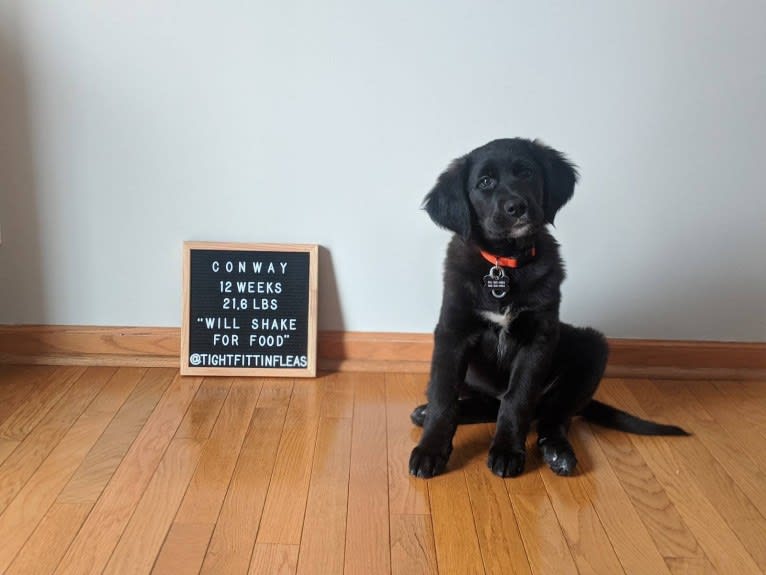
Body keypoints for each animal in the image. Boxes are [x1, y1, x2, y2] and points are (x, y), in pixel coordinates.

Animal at [412, 137, 688, 480]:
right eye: (485, 182)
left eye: (527, 173)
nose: (517, 207)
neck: (504, 264)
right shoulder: (453, 333)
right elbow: (443, 394)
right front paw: (430, 449)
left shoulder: (539, 339)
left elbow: (517, 399)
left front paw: (507, 450)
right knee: (492, 405)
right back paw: (426, 413)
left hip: (592, 348)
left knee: (553, 414)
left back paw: (558, 451)